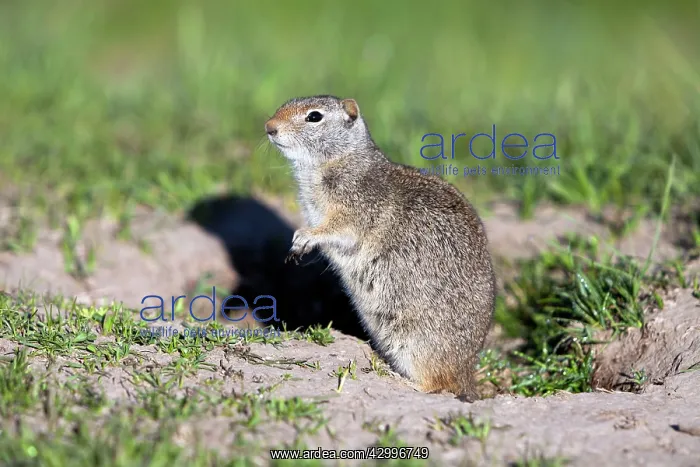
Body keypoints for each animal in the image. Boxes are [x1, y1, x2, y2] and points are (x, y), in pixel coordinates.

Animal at [265, 95, 496, 401]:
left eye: (314, 117)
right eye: (285, 104)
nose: (269, 127)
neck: (340, 160)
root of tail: (467, 372)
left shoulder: (355, 208)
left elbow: (337, 229)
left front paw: (304, 237)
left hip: (415, 342)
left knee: (437, 383)